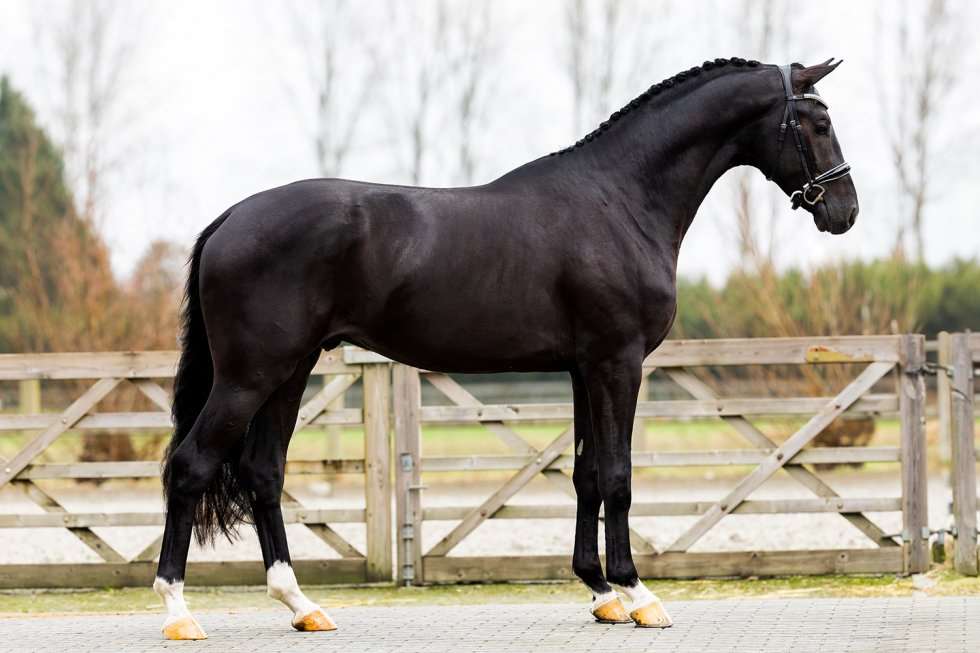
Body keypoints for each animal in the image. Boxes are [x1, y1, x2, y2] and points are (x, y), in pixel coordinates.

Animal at [153, 57, 858, 639]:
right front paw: (639, 595)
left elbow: (586, 475)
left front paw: (601, 593)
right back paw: (180, 613)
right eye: (819, 122)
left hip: (290, 371)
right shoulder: (618, 362)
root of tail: (230, 219)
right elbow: (619, 475)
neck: (620, 199)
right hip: (249, 376)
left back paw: (303, 607)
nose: (844, 212)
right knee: (191, 465)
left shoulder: (582, 369)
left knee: (263, 472)